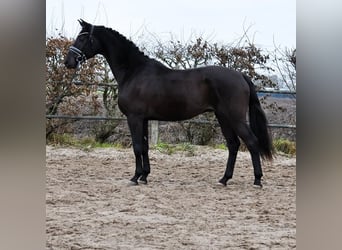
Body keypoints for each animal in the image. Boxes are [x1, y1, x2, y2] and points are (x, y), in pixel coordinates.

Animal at [65, 19, 272, 187]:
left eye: (82, 38)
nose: (68, 62)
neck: (134, 72)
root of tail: (240, 76)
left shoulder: (134, 118)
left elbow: (137, 147)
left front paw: (135, 177)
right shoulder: (144, 119)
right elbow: (145, 147)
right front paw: (144, 176)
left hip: (235, 117)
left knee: (251, 142)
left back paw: (257, 180)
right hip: (223, 117)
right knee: (233, 144)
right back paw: (224, 179)